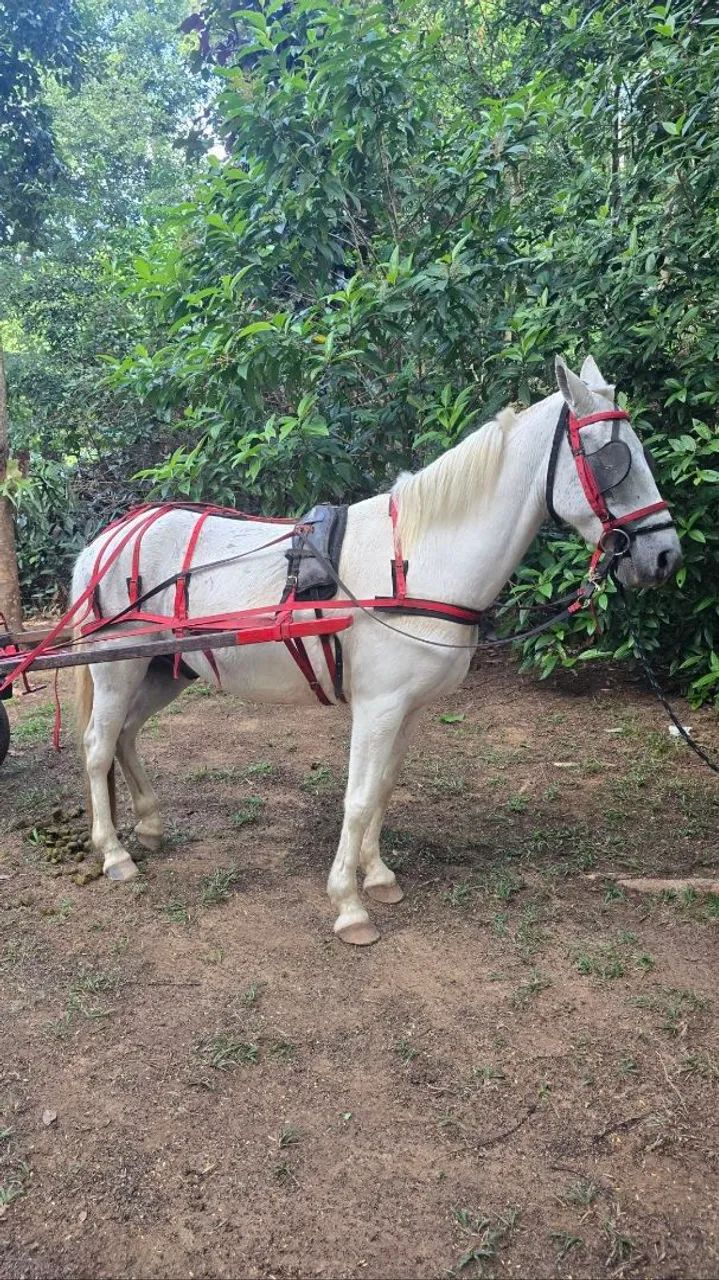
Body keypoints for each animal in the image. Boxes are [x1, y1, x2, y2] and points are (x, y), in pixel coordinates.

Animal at [72, 355, 681, 944]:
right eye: (612, 460)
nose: (665, 556)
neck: (413, 560)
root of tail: (105, 539)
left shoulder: (409, 708)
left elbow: (384, 788)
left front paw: (379, 877)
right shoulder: (378, 705)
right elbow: (359, 797)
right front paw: (348, 906)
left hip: (165, 671)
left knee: (127, 735)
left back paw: (149, 826)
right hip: (118, 667)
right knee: (99, 745)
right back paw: (115, 854)